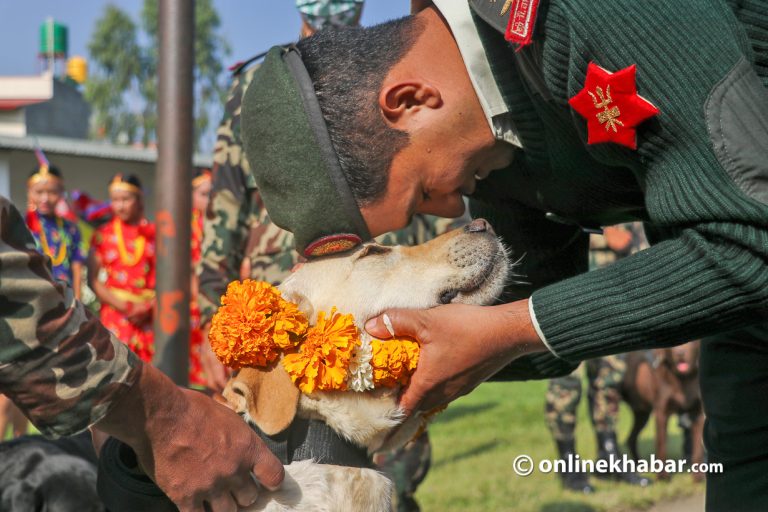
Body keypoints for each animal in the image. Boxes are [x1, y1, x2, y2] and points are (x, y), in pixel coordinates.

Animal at [620, 340, 704, 480]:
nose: (680, 354)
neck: (683, 379)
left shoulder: (697, 414)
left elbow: (698, 448)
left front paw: (698, 476)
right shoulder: (661, 413)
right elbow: (661, 444)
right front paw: (663, 476)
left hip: (642, 414)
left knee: (631, 438)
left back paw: (640, 466)